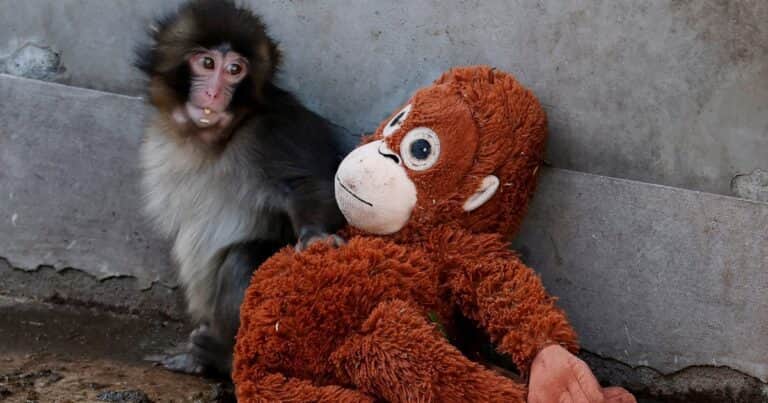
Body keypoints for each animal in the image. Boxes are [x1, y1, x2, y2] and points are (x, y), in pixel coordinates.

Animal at [135, 0, 348, 377]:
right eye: (207, 63)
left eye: (235, 69)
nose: (215, 92)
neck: (213, 139)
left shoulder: (274, 130)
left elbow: (311, 185)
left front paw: (315, 237)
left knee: (243, 259)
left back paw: (220, 356)